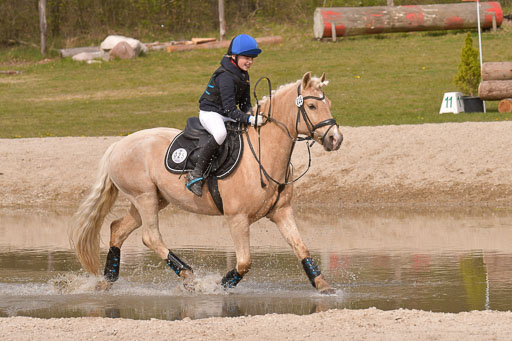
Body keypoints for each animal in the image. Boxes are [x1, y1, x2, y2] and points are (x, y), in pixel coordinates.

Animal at [71, 71, 344, 292]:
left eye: (329, 104)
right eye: (311, 106)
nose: (336, 139)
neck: (264, 151)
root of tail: (118, 144)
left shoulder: (282, 212)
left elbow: (302, 248)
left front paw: (323, 285)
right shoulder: (237, 218)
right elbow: (244, 263)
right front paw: (219, 285)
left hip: (152, 199)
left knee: (117, 228)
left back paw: (107, 280)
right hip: (144, 196)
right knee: (151, 237)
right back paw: (189, 277)